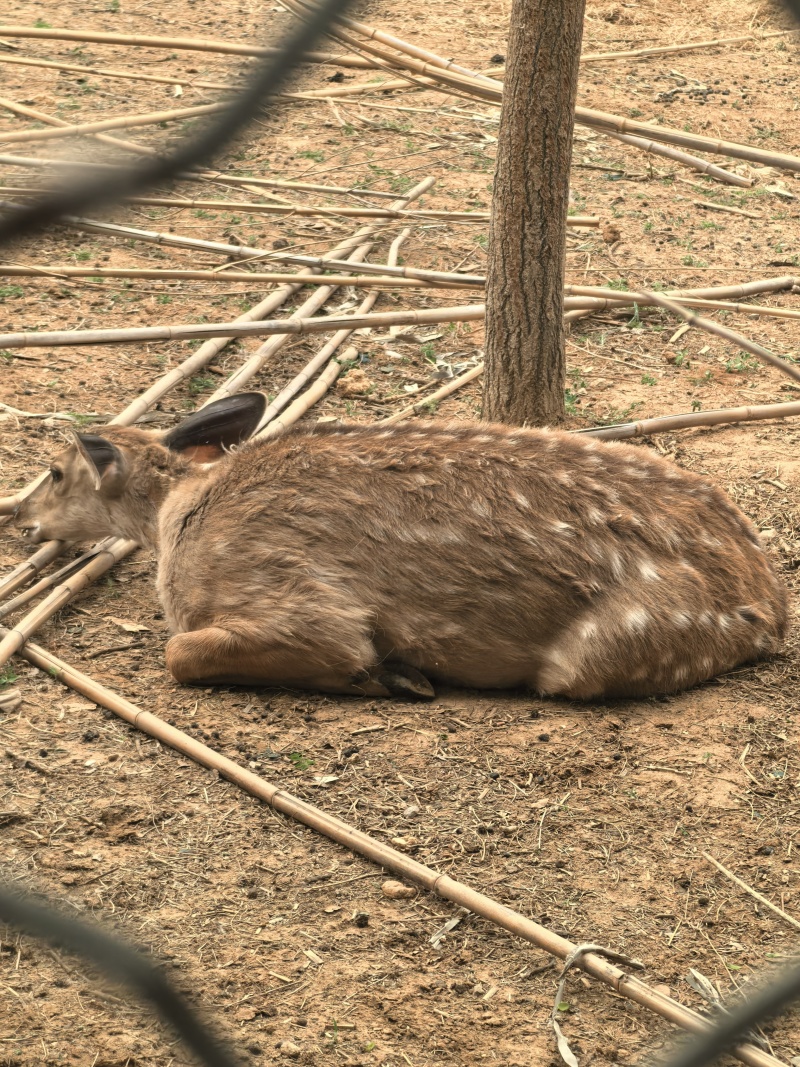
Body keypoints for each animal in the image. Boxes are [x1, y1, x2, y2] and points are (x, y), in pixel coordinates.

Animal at [14, 393, 788, 701]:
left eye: (53, 471)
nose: (24, 518)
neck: (180, 516)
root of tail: (770, 612)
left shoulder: (301, 600)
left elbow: (181, 653)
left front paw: (393, 675)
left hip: (602, 651)